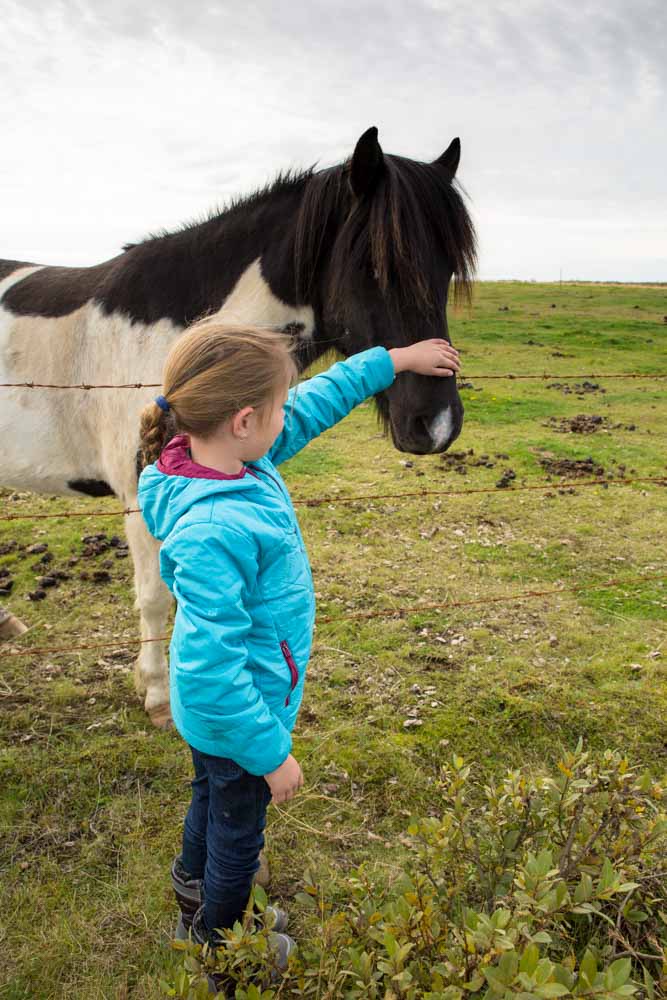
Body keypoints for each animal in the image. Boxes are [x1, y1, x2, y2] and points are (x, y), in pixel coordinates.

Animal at [1, 129, 480, 728]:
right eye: (373, 266)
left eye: (446, 270)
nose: (436, 424)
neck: (182, 333)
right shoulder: (138, 492)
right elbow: (156, 596)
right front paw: (157, 695)